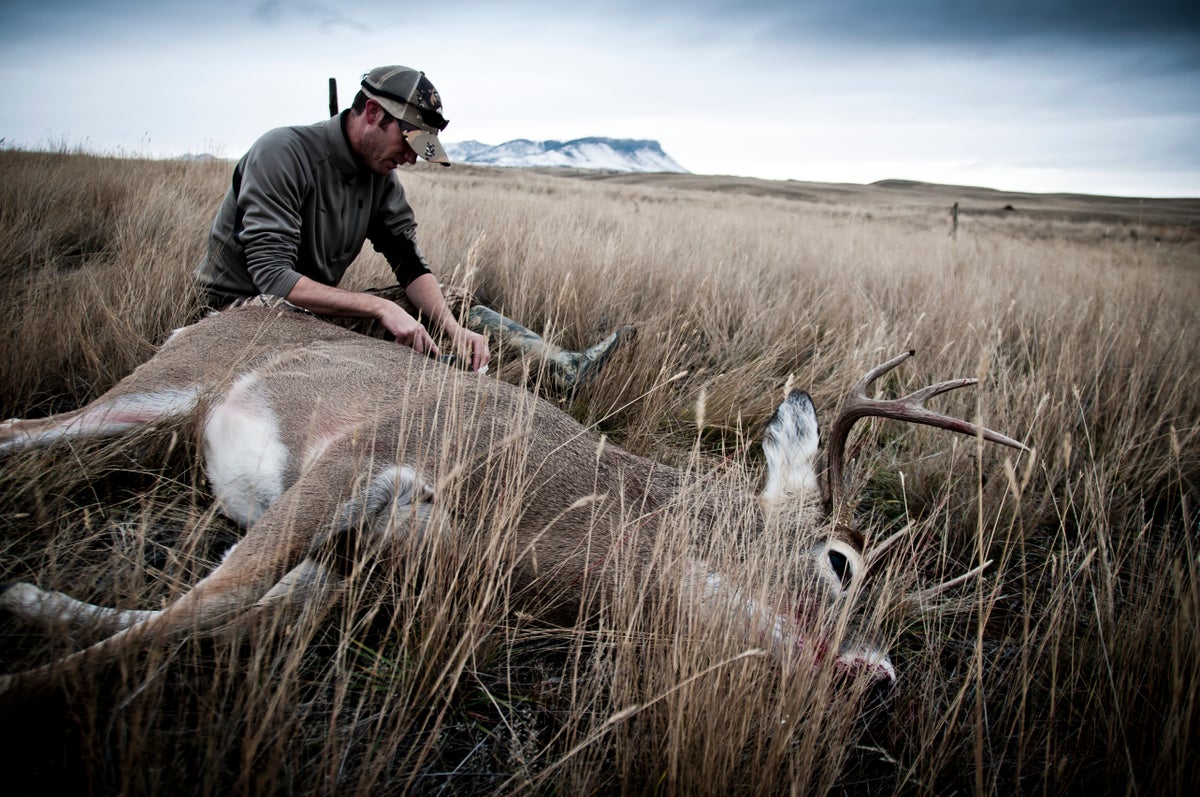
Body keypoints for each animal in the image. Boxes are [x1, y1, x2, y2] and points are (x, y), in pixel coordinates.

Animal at [2, 303, 1032, 691]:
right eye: (840, 561)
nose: (879, 674)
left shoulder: (362, 563)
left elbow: (232, 610)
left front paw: (26, 603)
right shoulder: (371, 450)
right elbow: (216, 592)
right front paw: (21, 684)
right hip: (156, 389)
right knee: (16, 430)